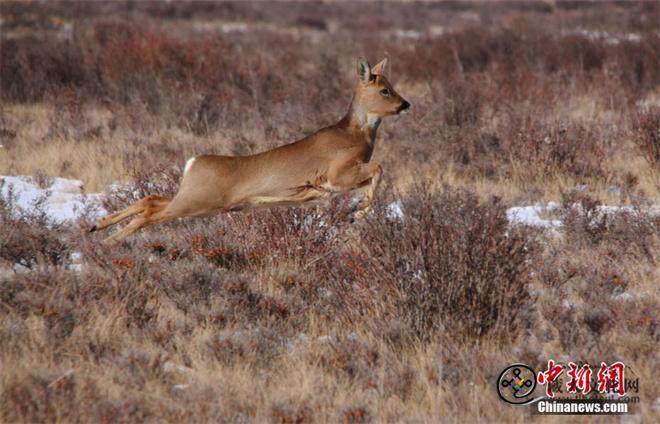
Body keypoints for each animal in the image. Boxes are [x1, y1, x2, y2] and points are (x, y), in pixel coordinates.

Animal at [87, 58, 408, 242]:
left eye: (391, 85)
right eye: (385, 90)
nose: (406, 104)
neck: (354, 134)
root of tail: (193, 162)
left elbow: (376, 172)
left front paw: (357, 211)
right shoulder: (337, 174)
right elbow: (379, 167)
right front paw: (359, 213)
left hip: (196, 198)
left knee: (150, 199)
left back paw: (96, 228)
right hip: (197, 201)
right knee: (150, 214)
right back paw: (106, 242)